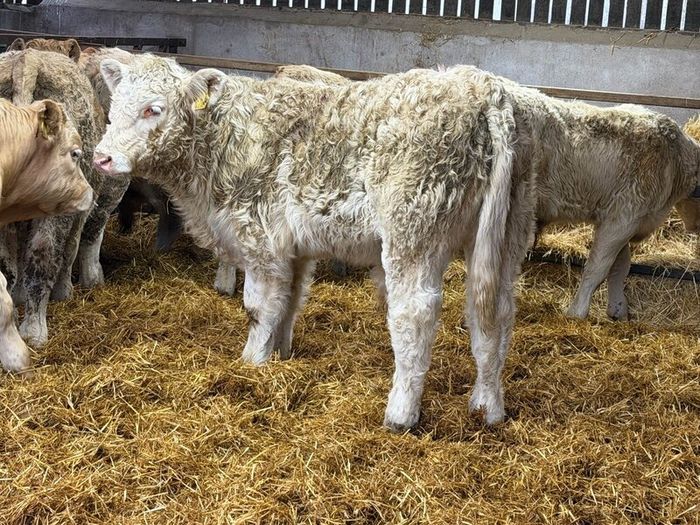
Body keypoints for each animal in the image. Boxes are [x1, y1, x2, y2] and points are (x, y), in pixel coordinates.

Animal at [93, 55, 538, 430]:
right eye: (113, 108)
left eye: (153, 108)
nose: (101, 157)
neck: (223, 139)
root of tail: (480, 87)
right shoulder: (294, 248)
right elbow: (290, 300)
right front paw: (281, 354)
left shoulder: (260, 238)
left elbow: (259, 308)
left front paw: (251, 363)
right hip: (506, 235)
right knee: (494, 314)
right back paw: (488, 407)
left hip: (413, 232)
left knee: (415, 314)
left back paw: (401, 414)